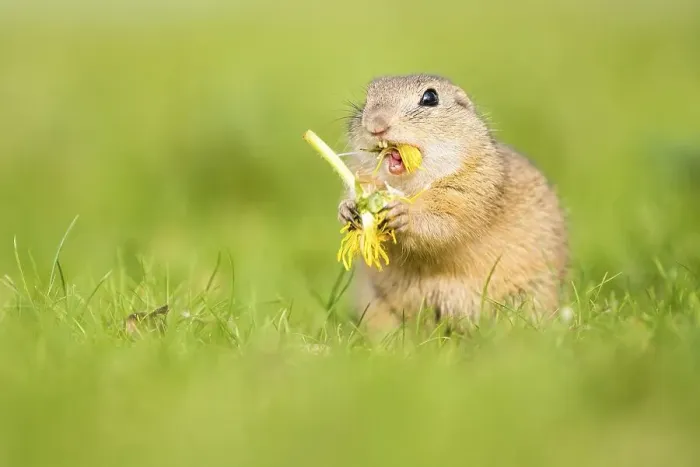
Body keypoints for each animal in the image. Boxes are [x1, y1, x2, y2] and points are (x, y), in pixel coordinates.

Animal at [339, 74, 569, 332]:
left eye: (430, 97)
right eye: (367, 97)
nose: (376, 124)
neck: (408, 186)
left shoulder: (469, 190)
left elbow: (445, 223)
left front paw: (402, 213)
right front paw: (348, 208)